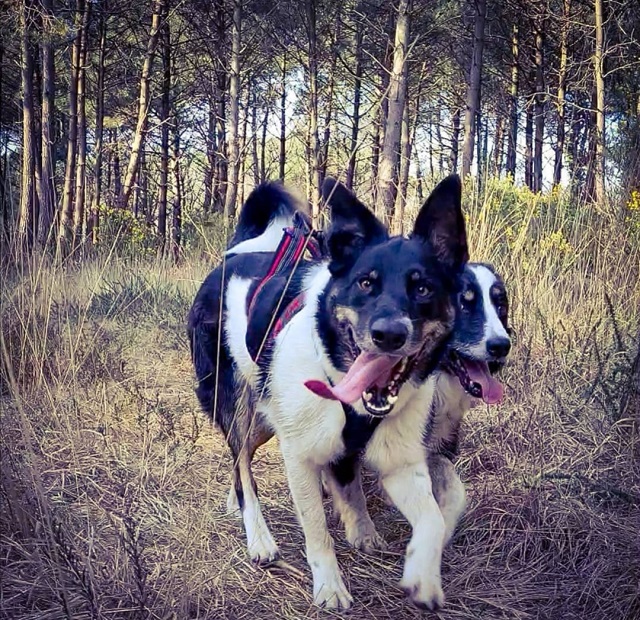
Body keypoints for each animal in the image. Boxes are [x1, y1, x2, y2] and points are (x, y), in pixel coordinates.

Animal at [188, 176, 472, 612]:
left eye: (423, 288)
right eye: (365, 282)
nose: (389, 335)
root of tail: (233, 257)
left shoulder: (400, 462)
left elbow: (432, 519)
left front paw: (422, 574)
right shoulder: (299, 455)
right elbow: (317, 531)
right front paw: (329, 586)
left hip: (267, 416)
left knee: (245, 459)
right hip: (240, 405)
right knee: (241, 466)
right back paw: (259, 536)